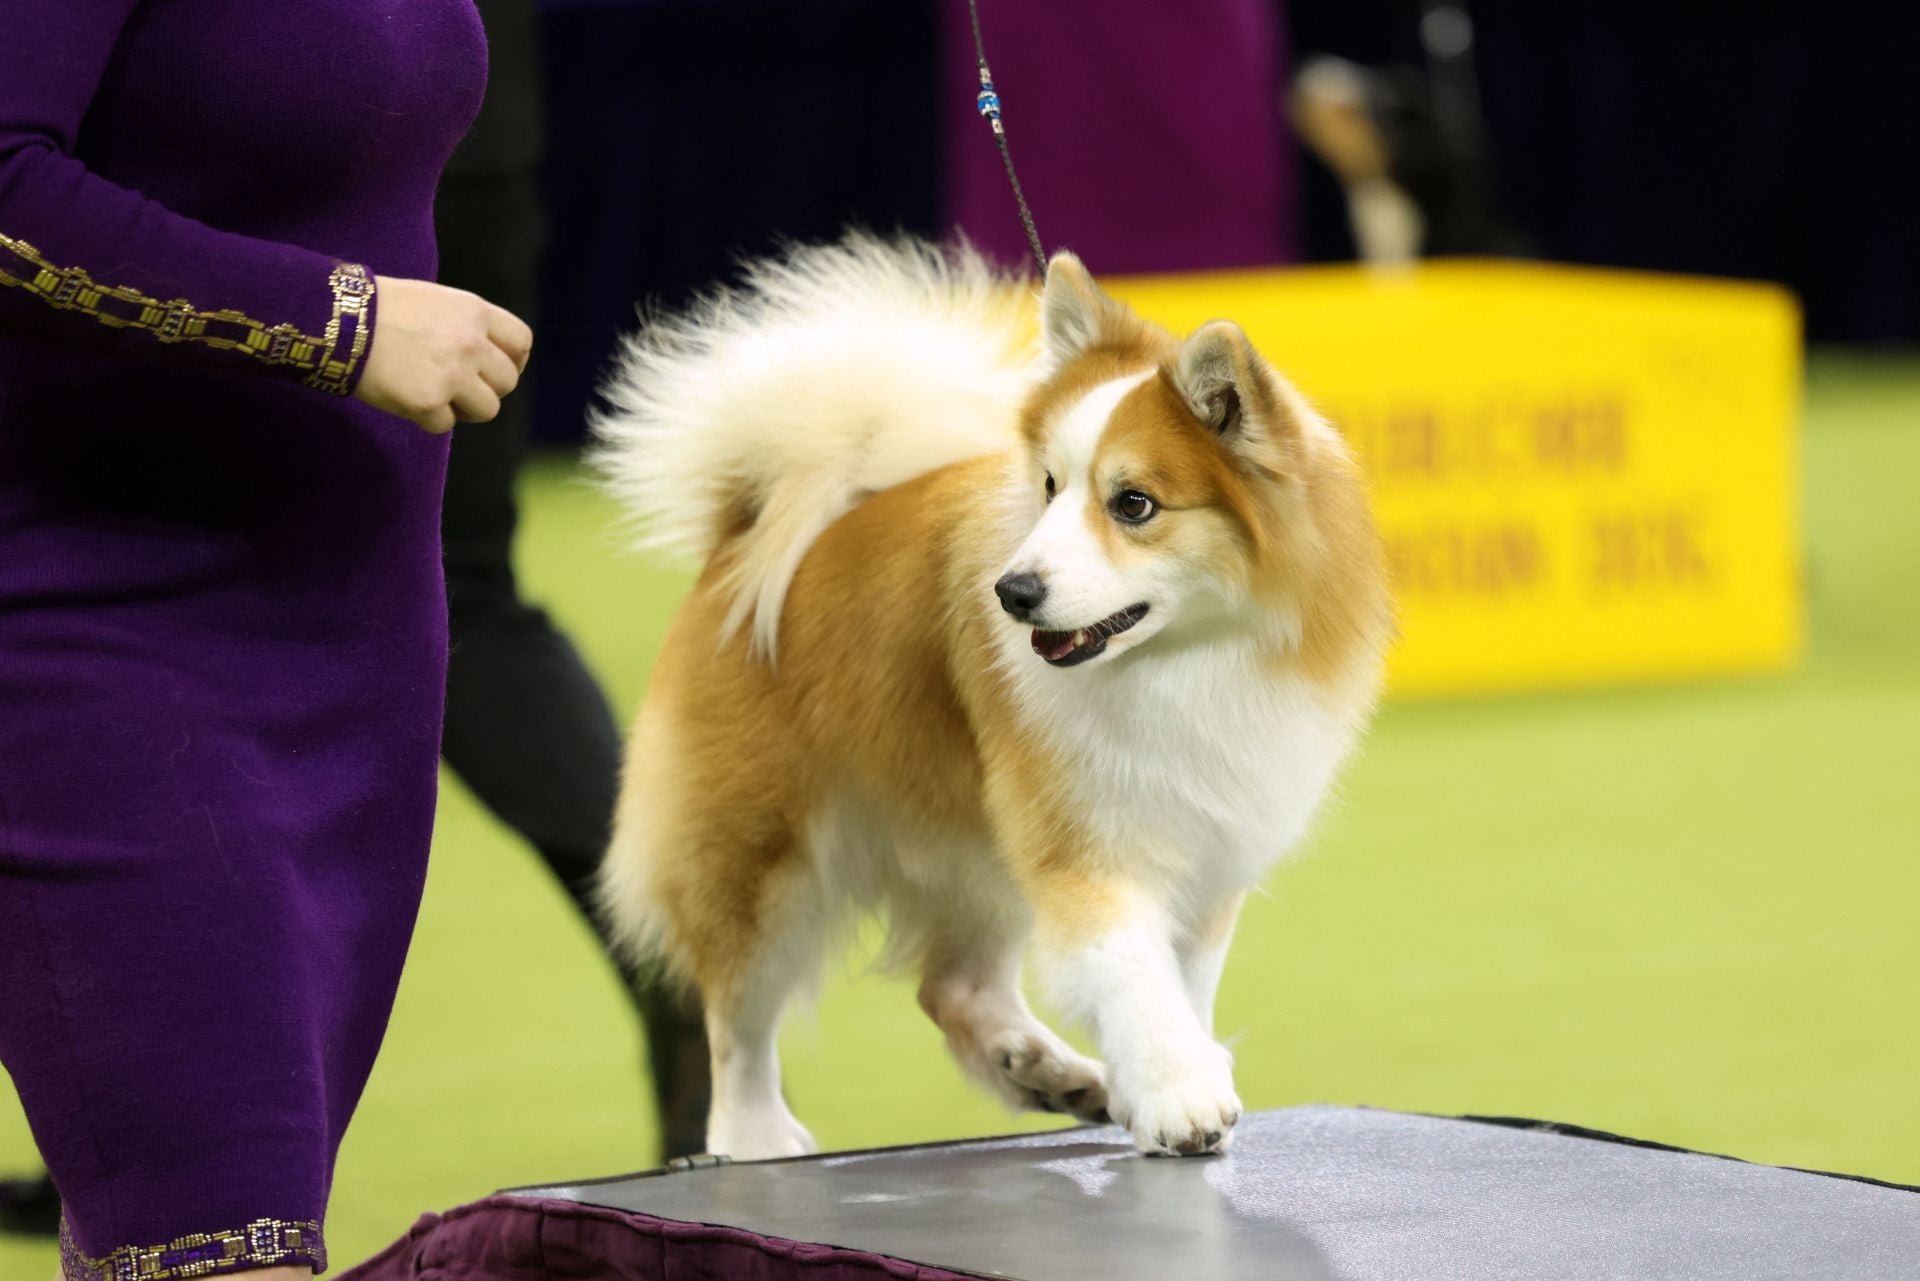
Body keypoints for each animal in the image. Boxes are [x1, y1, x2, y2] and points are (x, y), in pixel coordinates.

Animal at [591, 238, 1390, 1160]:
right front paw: (1180, 1094)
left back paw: (1052, 1073)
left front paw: (1156, 1083)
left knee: (953, 988)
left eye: (1134, 504)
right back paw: (755, 1137)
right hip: (762, 855)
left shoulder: (1203, 845)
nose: (1012, 591)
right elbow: (1132, 974)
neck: (1181, 659)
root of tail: (745, 534)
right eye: (1048, 487)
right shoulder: (1085, 844)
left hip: (976, 843)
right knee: (738, 1019)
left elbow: (1179, 982)